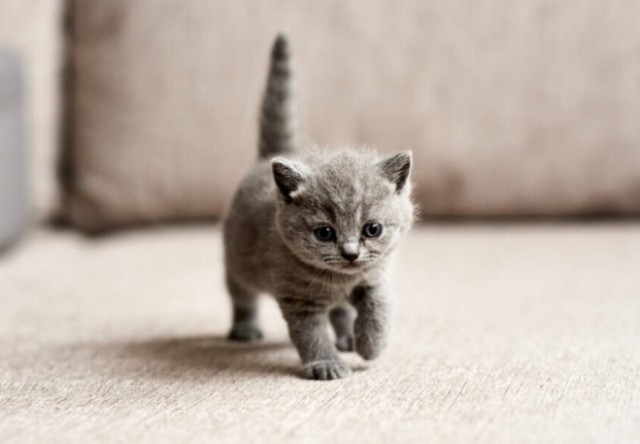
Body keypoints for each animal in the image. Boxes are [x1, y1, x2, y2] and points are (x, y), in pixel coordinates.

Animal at [223, 34, 414, 380]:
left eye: (373, 229)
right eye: (324, 233)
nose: (351, 253)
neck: (340, 280)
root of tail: (270, 156)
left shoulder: (374, 276)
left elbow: (379, 306)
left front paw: (370, 345)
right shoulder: (298, 298)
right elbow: (310, 334)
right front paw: (325, 364)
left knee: (339, 309)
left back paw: (349, 337)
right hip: (237, 261)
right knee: (242, 295)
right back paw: (245, 329)